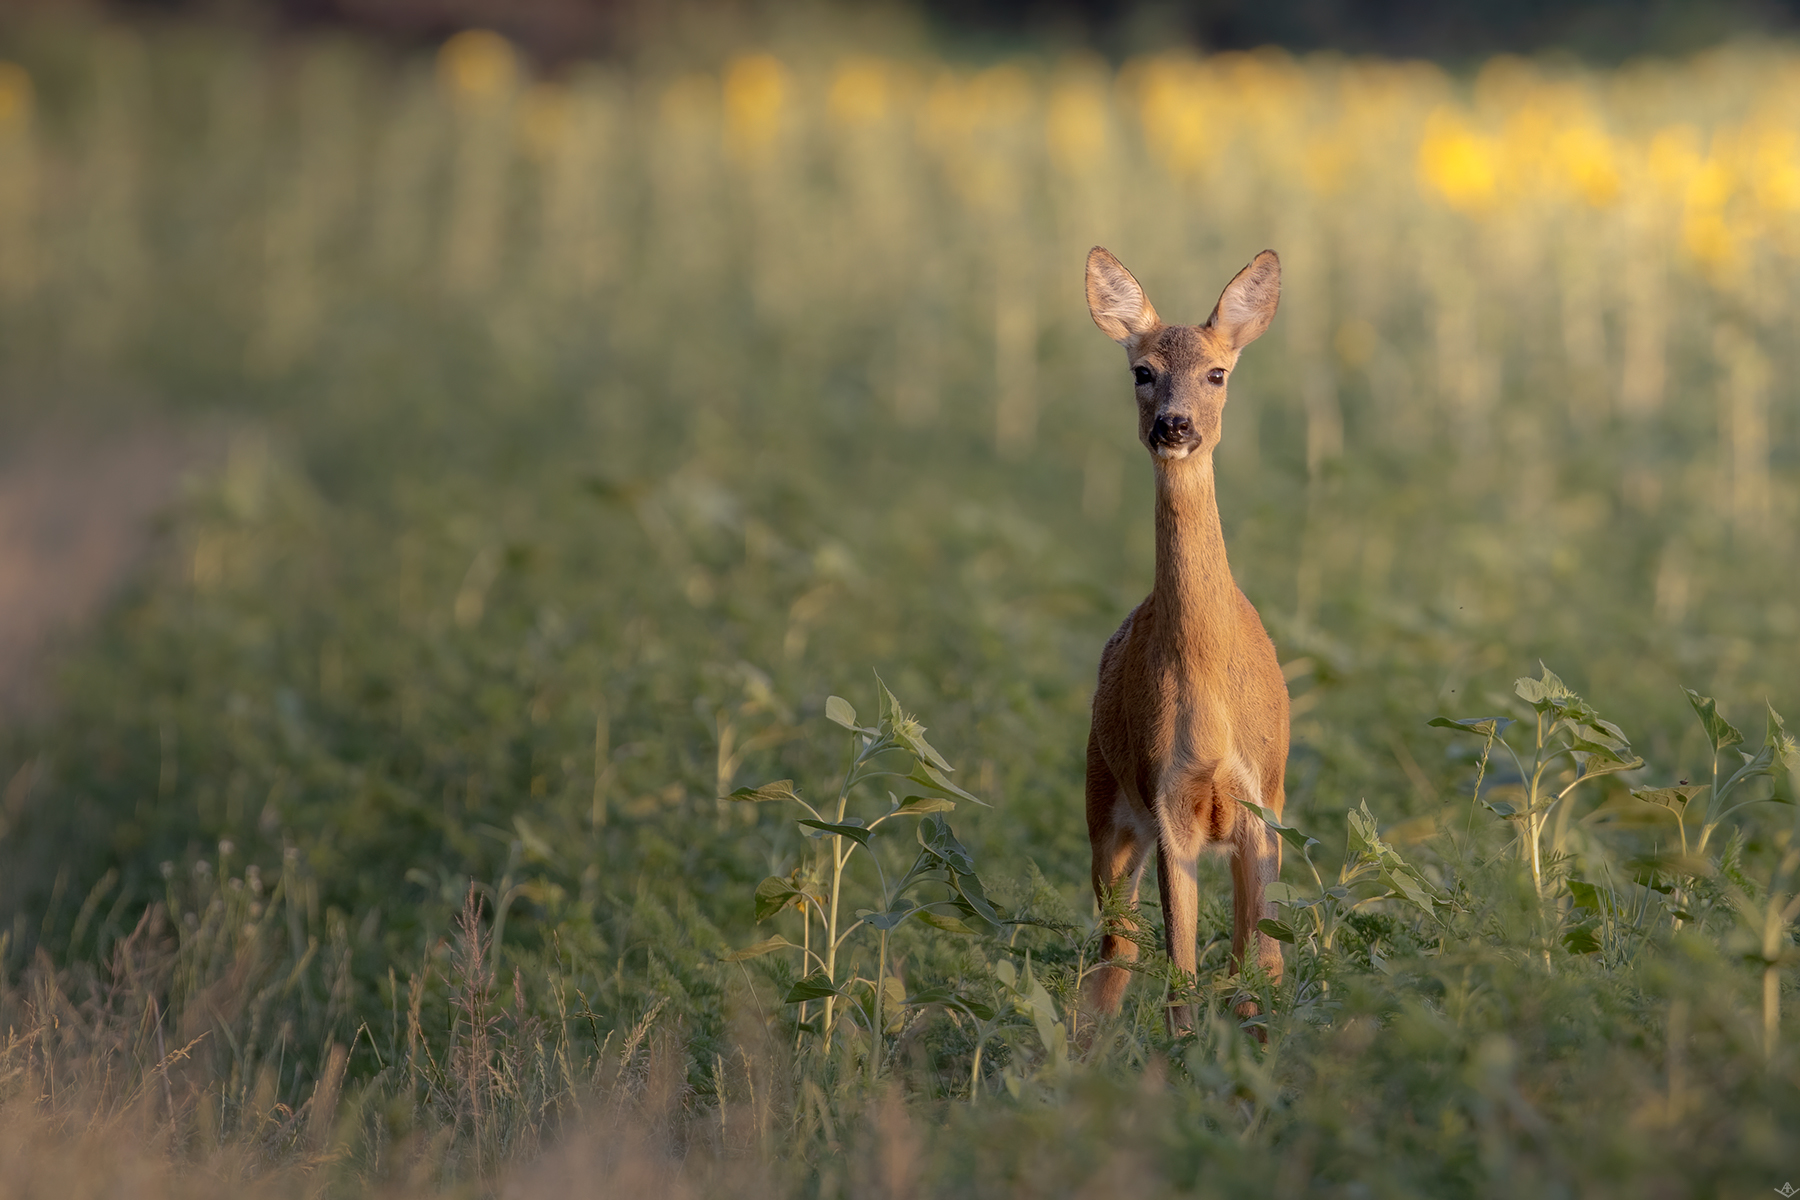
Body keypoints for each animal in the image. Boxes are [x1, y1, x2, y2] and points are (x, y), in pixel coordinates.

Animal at [1080, 246, 1289, 1034]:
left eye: (1217, 372)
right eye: (1141, 370)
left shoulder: (1261, 806)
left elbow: (1258, 965)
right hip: (1104, 804)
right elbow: (1183, 976)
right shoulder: (1166, 802)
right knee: (1114, 957)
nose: (1174, 425)